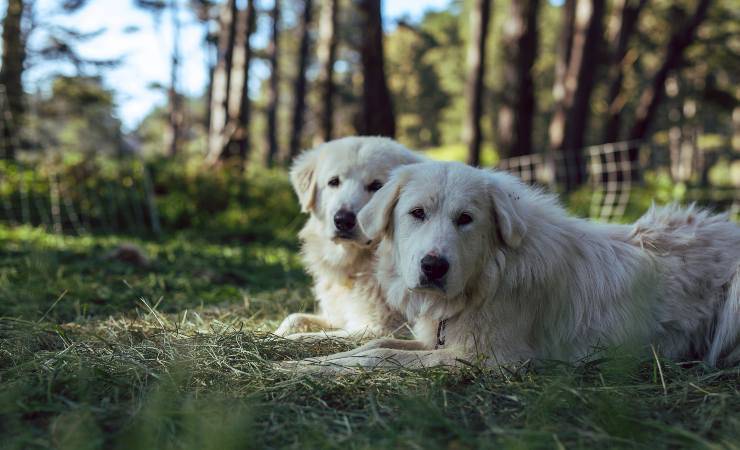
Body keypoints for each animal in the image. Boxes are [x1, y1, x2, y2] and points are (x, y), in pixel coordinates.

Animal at [274, 135, 424, 340]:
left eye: (376, 186)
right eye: (334, 182)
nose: (343, 220)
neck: (356, 266)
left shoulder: (378, 329)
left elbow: (309, 336)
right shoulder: (335, 317)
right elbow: (293, 318)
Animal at [290, 160, 740, 370]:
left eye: (465, 219)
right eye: (417, 213)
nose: (434, 267)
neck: (490, 274)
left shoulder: (487, 359)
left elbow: (379, 357)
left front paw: (302, 370)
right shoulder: (439, 340)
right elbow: (372, 346)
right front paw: (303, 365)